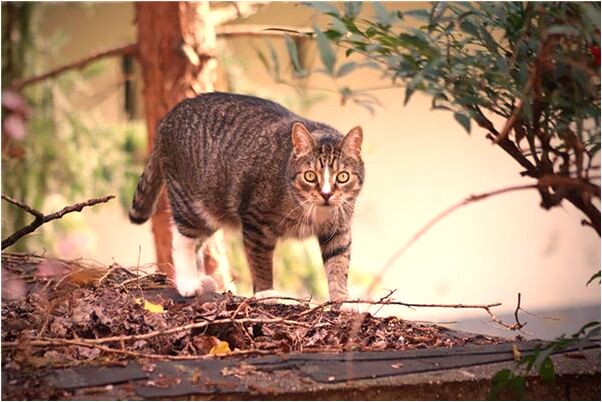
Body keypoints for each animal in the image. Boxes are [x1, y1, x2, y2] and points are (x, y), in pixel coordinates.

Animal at [129, 92, 364, 302]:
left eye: (342, 177)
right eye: (310, 175)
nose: (326, 194)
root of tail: (167, 118)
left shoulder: (339, 229)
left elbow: (338, 263)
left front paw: (342, 300)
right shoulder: (256, 222)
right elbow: (261, 264)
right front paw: (266, 293)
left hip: (211, 209)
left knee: (197, 241)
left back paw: (202, 280)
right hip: (191, 201)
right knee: (183, 238)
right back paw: (188, 282)